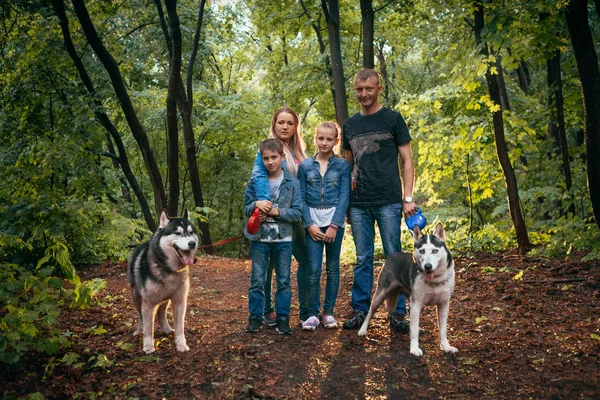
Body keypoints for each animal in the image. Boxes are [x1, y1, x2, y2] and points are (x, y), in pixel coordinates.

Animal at [129, 209, 199, 354]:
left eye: (190, 233)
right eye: (177, 233)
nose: (192, 243)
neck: (168, 269)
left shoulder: (179, 301)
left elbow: (180, 326)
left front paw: (181, 344)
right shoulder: (148, 303)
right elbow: (148, 326)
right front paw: (148, 345)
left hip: (165, 299)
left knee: (161, 314)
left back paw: (166, 329)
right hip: (136, 297)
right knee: (140, 316)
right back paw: (139, 330)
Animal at [356, 223, 460, 358]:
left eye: (435, 251)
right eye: (422, 251)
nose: (427, 266)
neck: (435, 280)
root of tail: (393, 255)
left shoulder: (443, 304)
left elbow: (443, 330)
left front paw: (446, 347)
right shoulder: (417, 303)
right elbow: (414, 332)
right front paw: (414, 348)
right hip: (381, 294)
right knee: (370, 312)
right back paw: (362, 329)